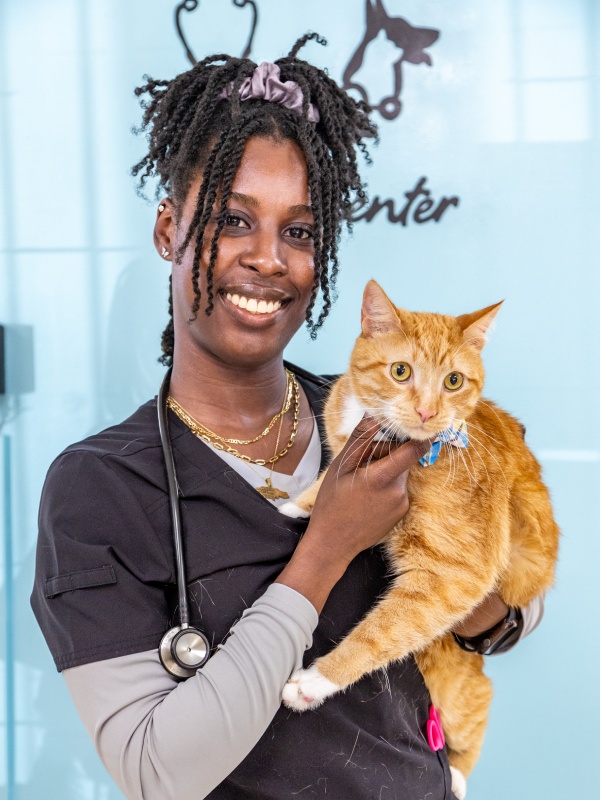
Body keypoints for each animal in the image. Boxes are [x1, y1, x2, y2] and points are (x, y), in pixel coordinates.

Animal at [280, 278, 556, 796]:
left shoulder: (454, 577)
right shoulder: (341, 456)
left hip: (457, 685)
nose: (427, 412)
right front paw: (293, 504)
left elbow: (379, 634)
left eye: (454, 381)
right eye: (400, 371)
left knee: (473, 712)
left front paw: (315, 683)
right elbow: (326, 480)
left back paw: (460, 778)